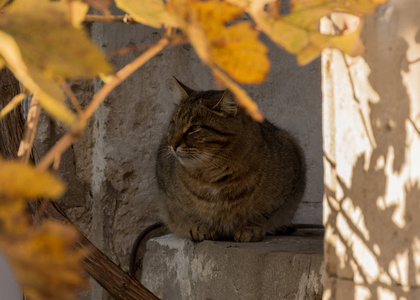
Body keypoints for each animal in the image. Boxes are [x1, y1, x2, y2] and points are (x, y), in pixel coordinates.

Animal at [157, 79, 306, 241]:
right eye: (173, 122)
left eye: (194, 128)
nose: (172, 145)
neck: (212, 174)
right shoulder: (170, 197)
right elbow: (190, 213)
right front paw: (202, 226)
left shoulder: (288, 185)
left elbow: (263, 214)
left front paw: (250, 227)